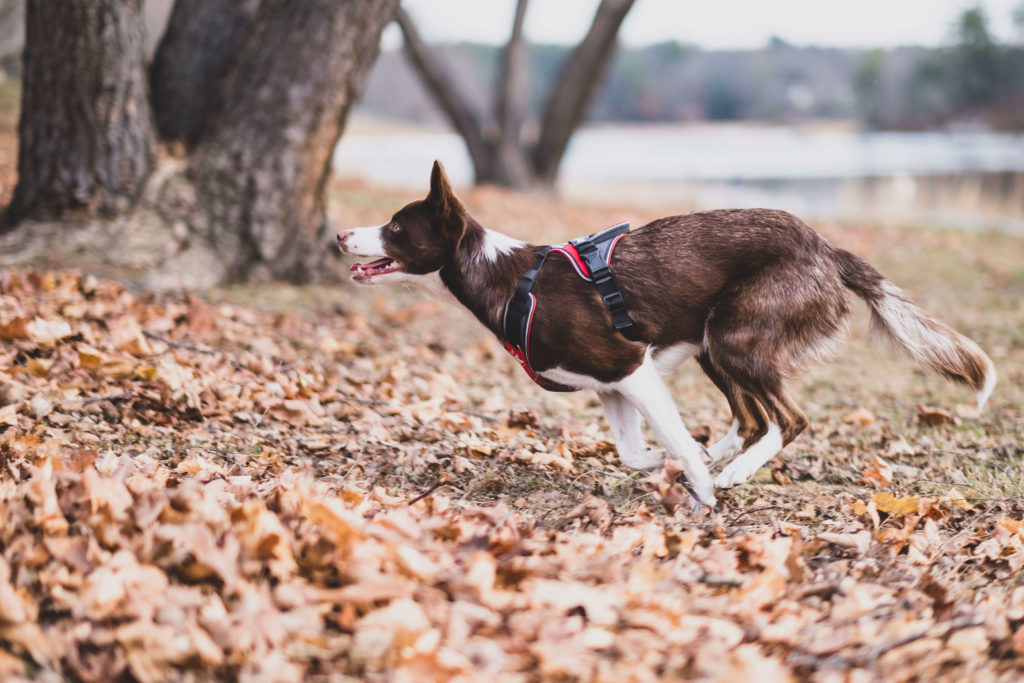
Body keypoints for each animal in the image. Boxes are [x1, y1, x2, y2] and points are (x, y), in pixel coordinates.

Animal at [335, 161, 991, 507]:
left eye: (396, 227)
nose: (340, 234)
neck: (510, 278)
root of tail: (827, 248)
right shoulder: (612, 384)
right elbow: (633, 451)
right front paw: (666, 460)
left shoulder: (630, 366)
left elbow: (672, 437)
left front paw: (700, 487)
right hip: (713, 348)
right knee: (752, 419)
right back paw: (726, 454)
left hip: (734, 339)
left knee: (789, 419)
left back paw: (734, 471)